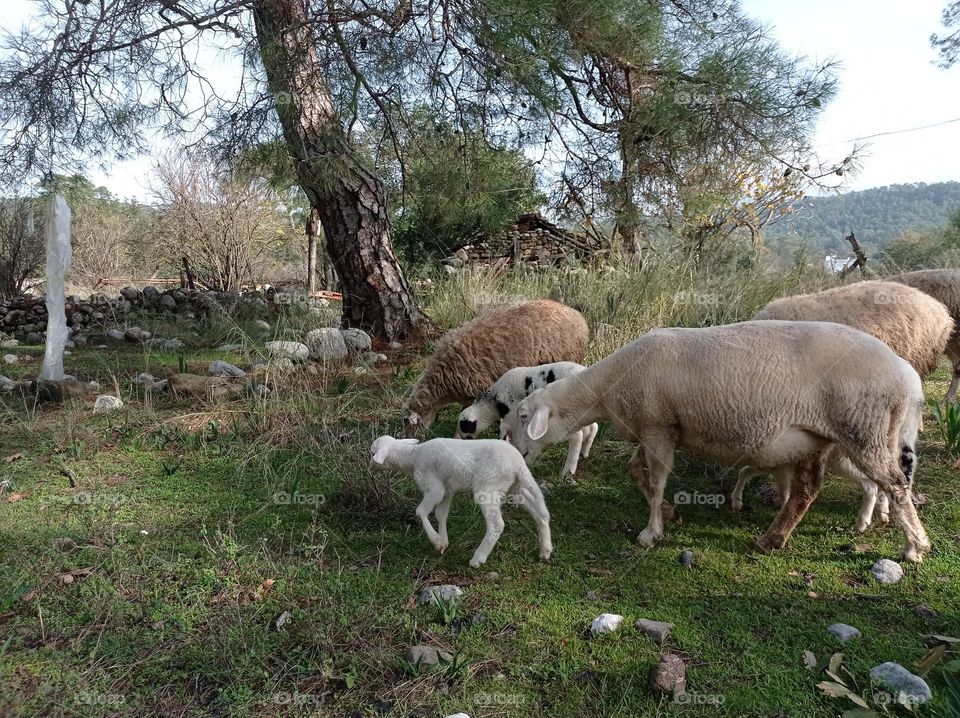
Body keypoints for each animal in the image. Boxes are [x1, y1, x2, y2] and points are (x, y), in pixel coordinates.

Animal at [369, 435, 552, 567]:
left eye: (372, 453)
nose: (370, 467)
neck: (412, 457)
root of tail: (518, 464)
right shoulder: (447, 490)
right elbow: (441, 514)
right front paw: (443, 541)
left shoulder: (434, 488)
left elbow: (420, 511)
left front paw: (436, 540)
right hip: (516, 488)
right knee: (541, 514)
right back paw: (545, 550)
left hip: (488, 487)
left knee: (496, 525)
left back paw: (478, 558)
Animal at [455, 361, 599, 477]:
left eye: (464, 426)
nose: (463, 440)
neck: (494, 404)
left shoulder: (511, 414)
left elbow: (504, 431)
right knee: (592, 427)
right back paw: (584, 453)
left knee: (578, 435)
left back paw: (569, 468)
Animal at [505, 320, 930, 562]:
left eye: (524, 417)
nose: (514, 452)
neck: (606, 389)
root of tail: (906, 375)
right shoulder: (660, 428)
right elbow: (636, 472)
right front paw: (671, 513)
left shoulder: (657, 426)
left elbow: (656, 481)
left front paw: (651, 532)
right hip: (819, 437)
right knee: (809, 489)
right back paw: (773, 538)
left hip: (864, 428)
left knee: (895, 484)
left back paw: (915, 547)